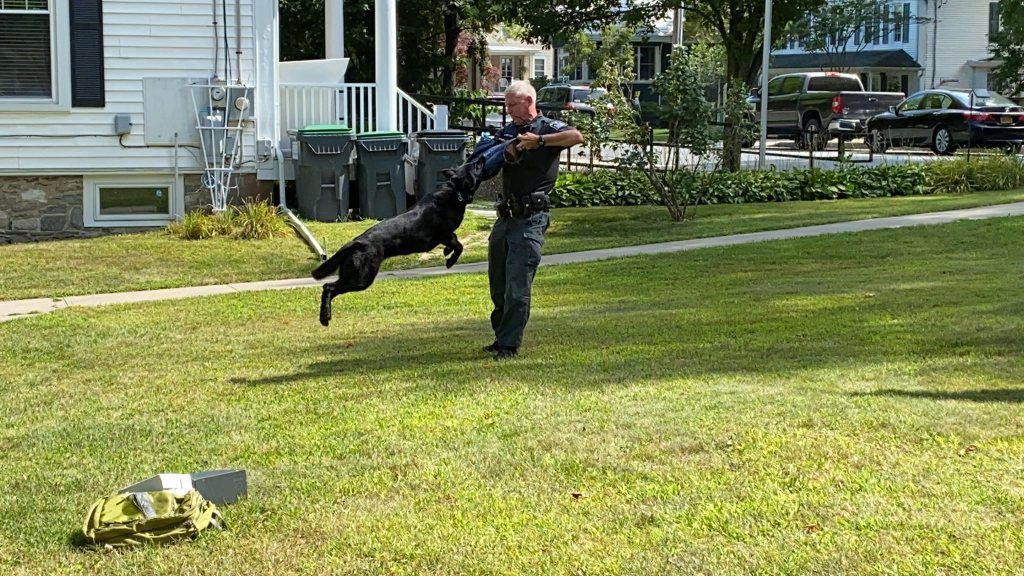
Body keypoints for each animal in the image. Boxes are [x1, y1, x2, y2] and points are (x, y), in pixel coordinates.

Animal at [311, 155, 488, 327]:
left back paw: (324, 316)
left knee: (329, 287)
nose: (483, 157)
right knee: (329, 287)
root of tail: (357, 242)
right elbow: (459, 246)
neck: (455, 191)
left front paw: (446, 251)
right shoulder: (444, 234)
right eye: (476, 166)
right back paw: (325, 317)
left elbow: (455, 242)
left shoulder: (447, 236)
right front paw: (450, 261)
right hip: (362, 277)